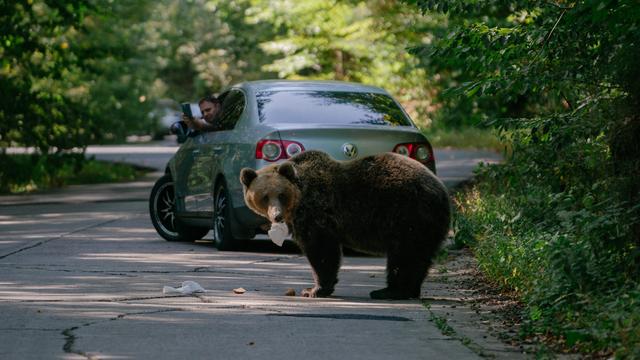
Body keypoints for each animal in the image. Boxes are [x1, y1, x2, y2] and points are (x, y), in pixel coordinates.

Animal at [240, 150, 450, 300]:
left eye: (281, 195)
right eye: (264, 196)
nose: (277, 216)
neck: (298, 202)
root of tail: (441, 190)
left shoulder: (316, 214)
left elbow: (321, 251)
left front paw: (314, 289)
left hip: (408, 215)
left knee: (404, 255)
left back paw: (391, 291)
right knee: (417, 257)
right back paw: (406, 290)